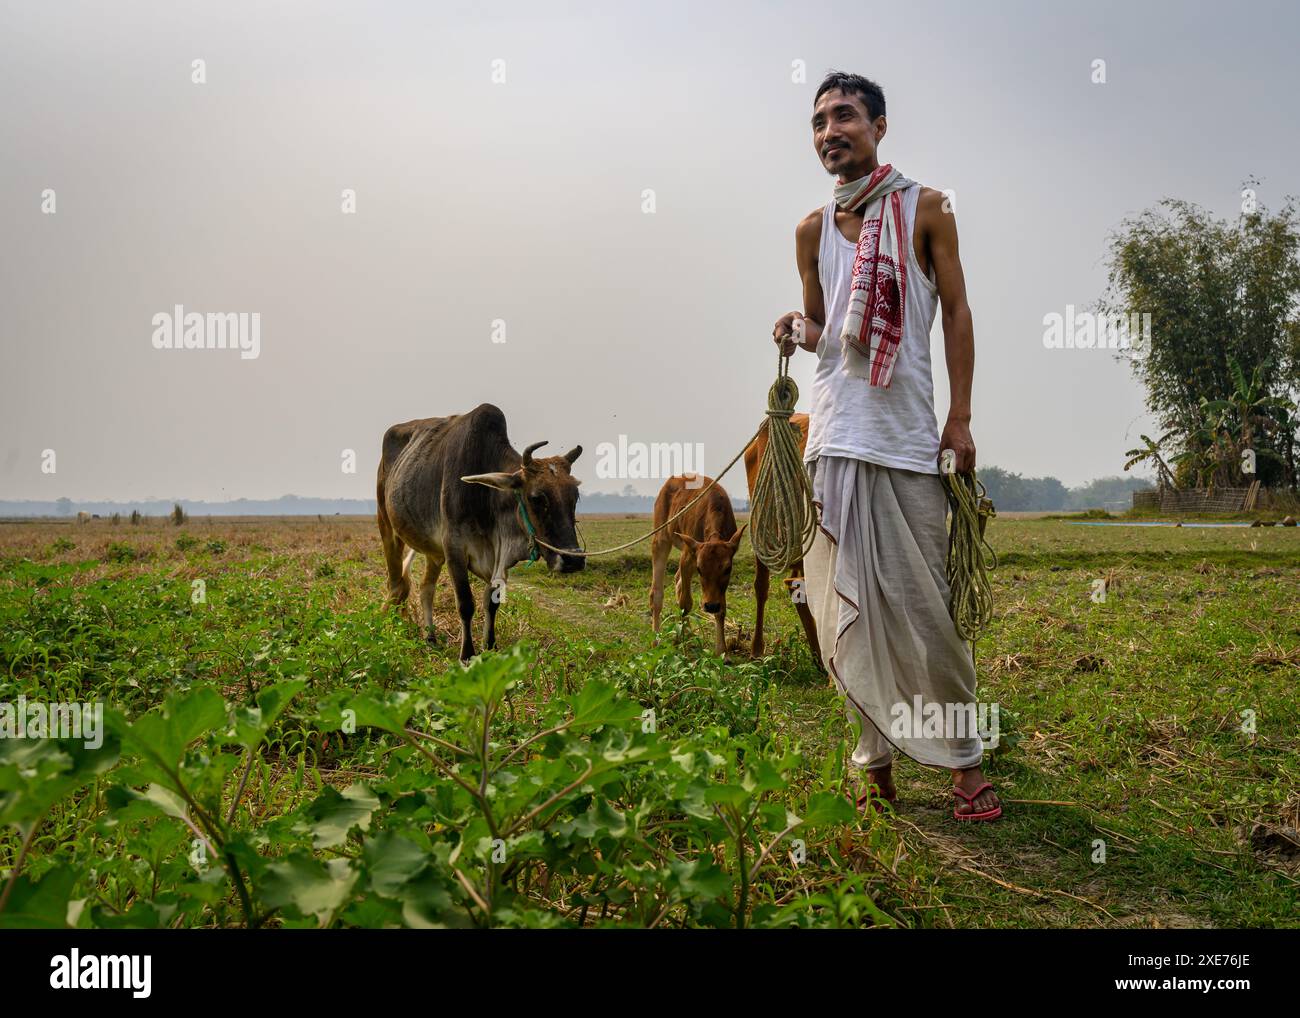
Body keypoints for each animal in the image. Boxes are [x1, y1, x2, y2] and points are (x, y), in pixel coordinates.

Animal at [647, 473, 743, 657]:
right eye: (700, 570)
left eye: (727, 569)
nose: (710, 605)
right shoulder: (688, 557)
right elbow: (685, 603)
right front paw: (684, 646)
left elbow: (722, 609)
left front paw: (722, 652)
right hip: (661, 538)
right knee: (657, 594)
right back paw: (656, 640)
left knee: (678, 582)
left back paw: (689, 634)